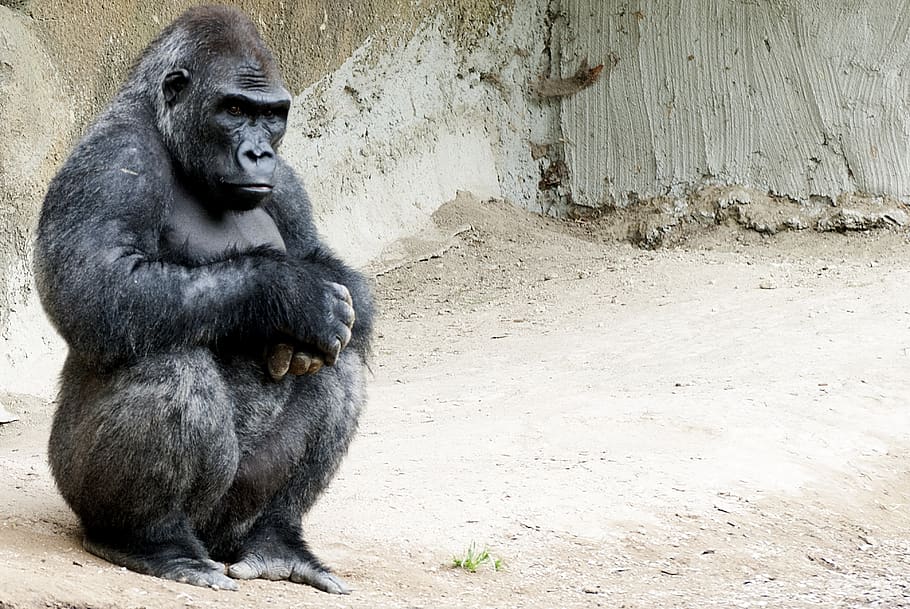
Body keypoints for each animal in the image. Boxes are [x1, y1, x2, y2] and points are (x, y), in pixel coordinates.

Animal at [33, 5, 374, 594]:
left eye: (272, 115)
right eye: (234, 109)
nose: (259, 151)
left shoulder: (286, 182)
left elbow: (328, 267)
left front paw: (309, 304)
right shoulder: (113, 157)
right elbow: (96, 286)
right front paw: (290, 294)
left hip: (231, 518)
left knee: (340, 362)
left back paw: (275, 538)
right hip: (76, 485)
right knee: (168, 357)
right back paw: (150, 540)